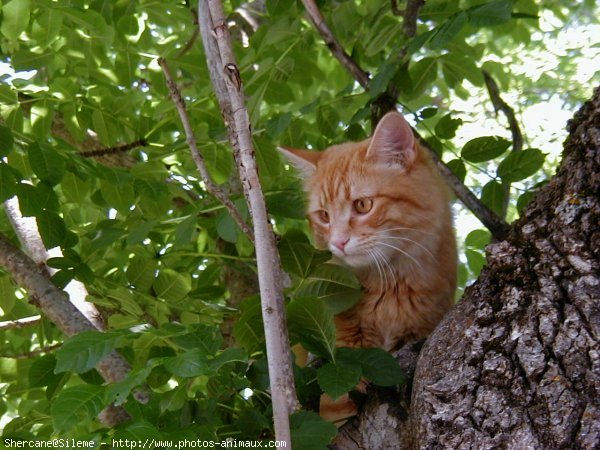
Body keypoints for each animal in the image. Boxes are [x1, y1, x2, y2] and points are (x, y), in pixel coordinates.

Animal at [278, 111, 458, 418]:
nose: (338, 242)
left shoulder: (417, 332)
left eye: (362, 205)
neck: (389, 285)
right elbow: (336, 403)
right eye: (324, 216)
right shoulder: (344, 345)